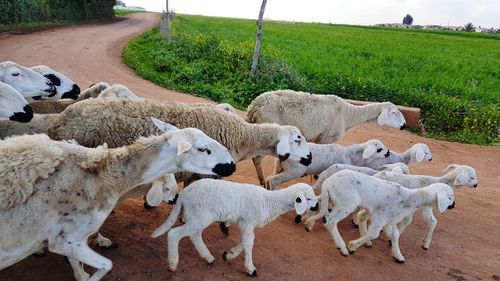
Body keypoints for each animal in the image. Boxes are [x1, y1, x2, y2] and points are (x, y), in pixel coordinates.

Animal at [0, 120, 235, 280]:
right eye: (204, 149)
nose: (232, 165)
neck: (105, 175)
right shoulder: (66, 240)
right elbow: (106, 265)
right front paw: (84, 274)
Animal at [150, 178, 318, 274]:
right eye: (308, 198)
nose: (317, 206)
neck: (269, 201)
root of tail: (184, 194)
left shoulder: (246, 223)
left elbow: (247, 241)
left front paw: (228, 255)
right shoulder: (248, 221)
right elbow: (249, 243)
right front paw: (250, 269)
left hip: (198, 216)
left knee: (194, 235)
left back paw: (208, 257)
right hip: (200, 215)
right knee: (174, 234)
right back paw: (173, 264)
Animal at [246, 89, 406, 186]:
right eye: (394, 113)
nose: (404, 125)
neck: (347, 114)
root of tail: (254, 107)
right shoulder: (326, 137)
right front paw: (317, 176)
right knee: (256, 159)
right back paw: (262, 181)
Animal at [304, 168, 458, 262]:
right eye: (450, 197)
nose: (453, 205)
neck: (410, 198)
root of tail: (328, 183)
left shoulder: (390, 220)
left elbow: (395, 235)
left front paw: (398, 256)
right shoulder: (380, 216)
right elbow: (374, 234)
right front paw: (352, 246)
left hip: (334, 200)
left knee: (321, 207)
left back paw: (309, 223)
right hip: (347, 203)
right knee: (330, 221)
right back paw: (343, 248)